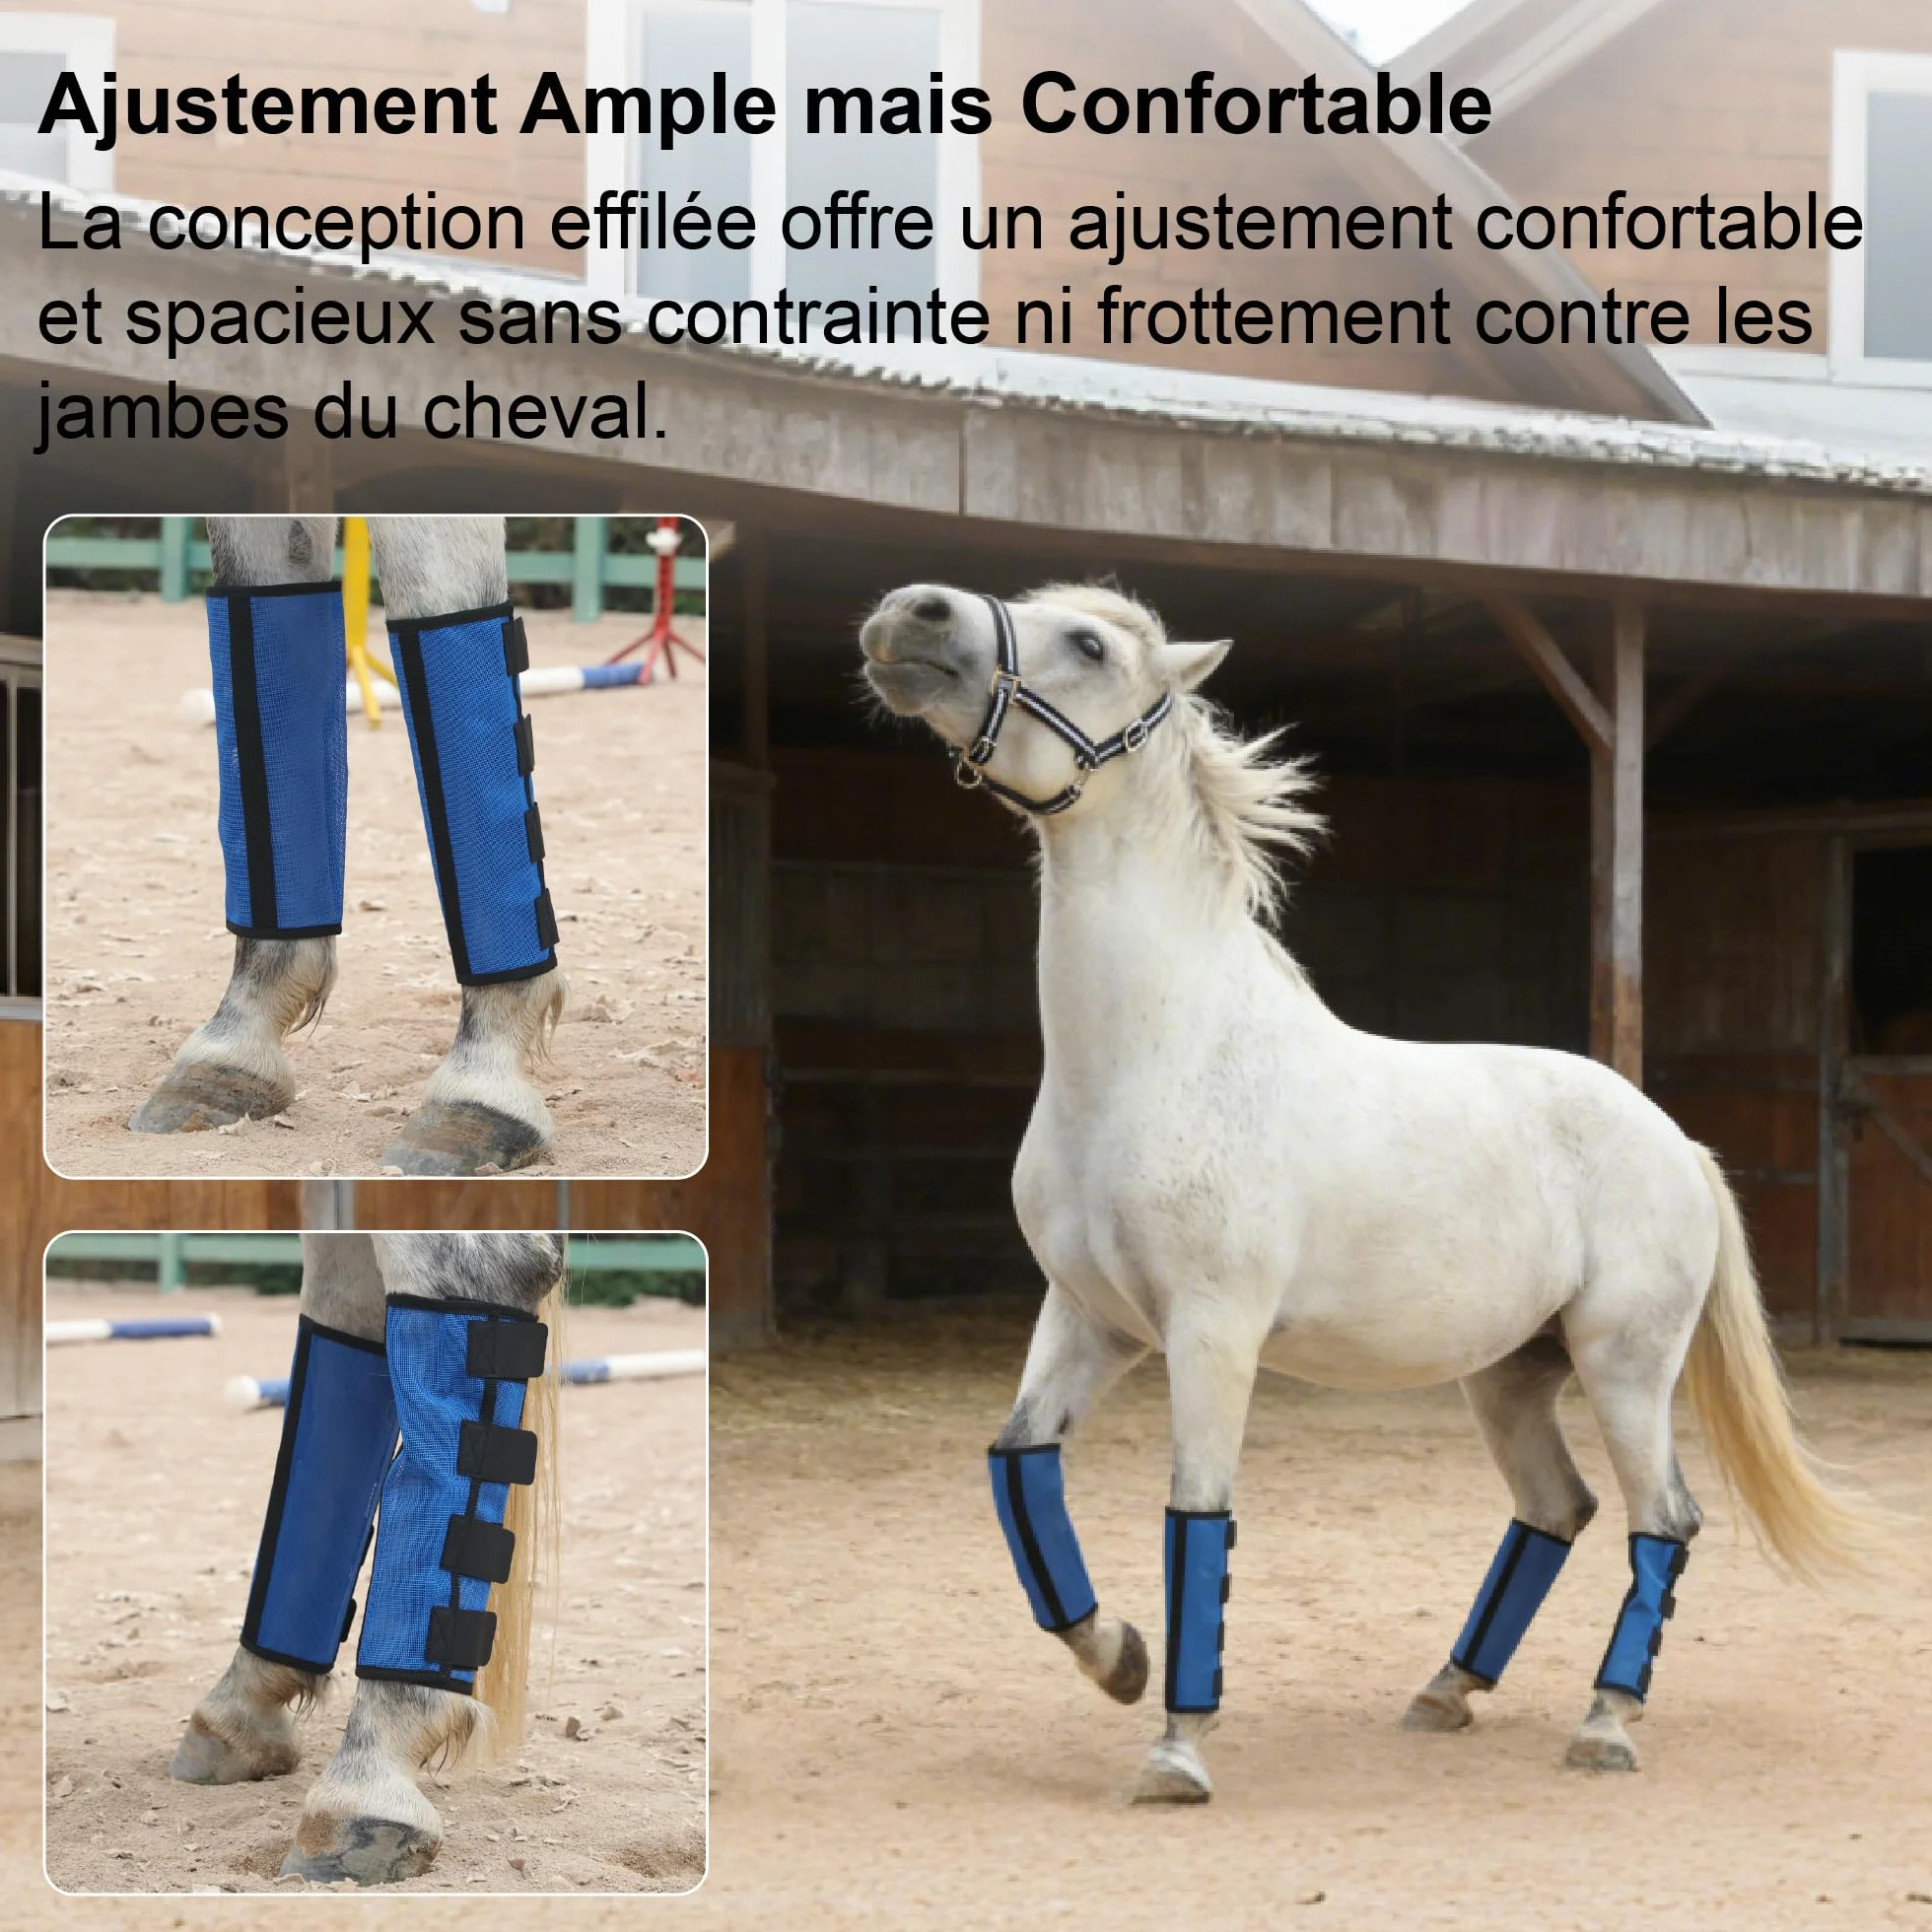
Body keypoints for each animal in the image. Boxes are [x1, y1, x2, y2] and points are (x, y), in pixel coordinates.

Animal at [859, 579, 1878, 1804]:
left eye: (1091, 644)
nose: (910, 615)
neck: (1159, 1052)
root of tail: (1676, 1143)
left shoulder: (1211, 1331)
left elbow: (1196, 1512)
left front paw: (1175, 1751)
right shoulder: (1089, 1320)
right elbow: (1020, 1475)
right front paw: (1118, 1659)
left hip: (1625, 1365)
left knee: (1660, 1519)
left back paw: (1605, 1723)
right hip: (1509, 1375)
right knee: (1558, 1507)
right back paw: (1445, 1691)